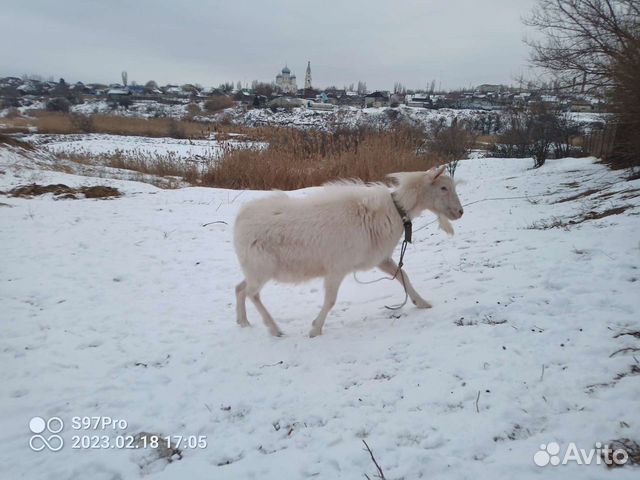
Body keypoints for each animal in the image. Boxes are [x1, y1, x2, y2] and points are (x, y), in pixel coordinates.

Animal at [232, 165, 462, 338]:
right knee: (252, 293)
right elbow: (331, 300)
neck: (394, 211)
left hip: (253, 268)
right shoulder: (337, 268)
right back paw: (274, 328)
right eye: (443, 187)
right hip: (261, 267)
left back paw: (243, 322)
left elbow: (403, 275)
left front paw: (421, 302)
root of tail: (240, 219)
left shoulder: (380, 259)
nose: (460, 212)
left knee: (240, 288)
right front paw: (315, 329)